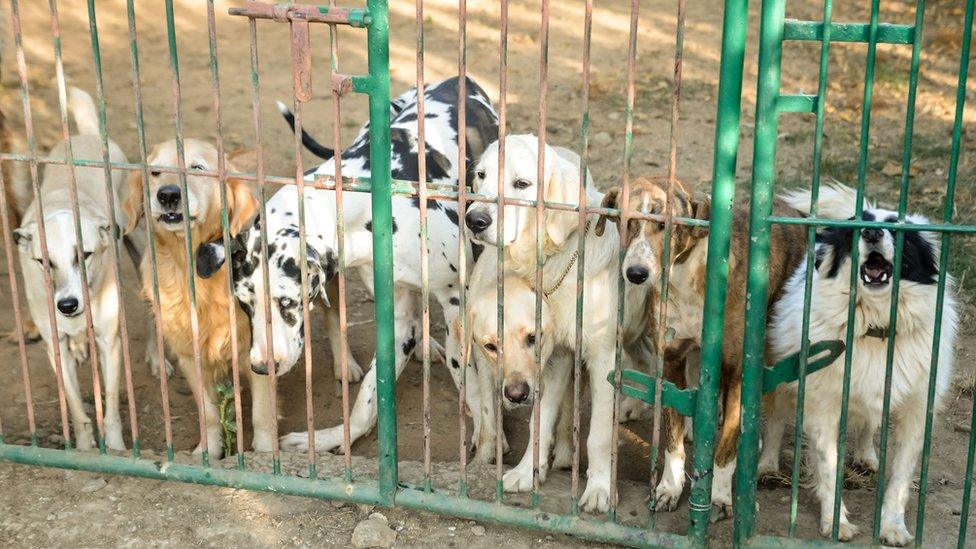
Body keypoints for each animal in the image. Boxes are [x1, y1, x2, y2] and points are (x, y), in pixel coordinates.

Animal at [122, 139, 266, 456]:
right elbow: (209, 413)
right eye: (155, 172)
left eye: (197, 168)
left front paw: (267, 453)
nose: (167, 195)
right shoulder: (189, 354)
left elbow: (263, 416)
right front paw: (208, 451)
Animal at [202, 77, 500, 454]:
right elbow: (370, 395)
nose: (260, 367)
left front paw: (489, 437)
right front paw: (335, 437)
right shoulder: (395, 317)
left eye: (287, 302)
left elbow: (470, 376)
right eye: (244, 304)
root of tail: (456, 80)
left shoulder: (456, 304)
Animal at [600, 176, 804, 520]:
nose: (636, 274)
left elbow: (726, 446)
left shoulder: (736, 370)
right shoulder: (670, 360)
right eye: (625, 221)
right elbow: (672, 439)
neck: (686, 276)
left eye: (663, 224)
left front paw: (719, 497)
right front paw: (669, 488)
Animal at [760, 183, 956, 544]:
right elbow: (829, 468)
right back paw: (766, 465)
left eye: (898, 227)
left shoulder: (917, 410)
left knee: (870, 423)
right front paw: (836, 522)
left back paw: (867, 455)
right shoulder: (822, 406)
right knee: (777, 415)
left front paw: (893, 526)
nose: (872, 232)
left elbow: (900, 479)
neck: (875, 326)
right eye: (857, 228)